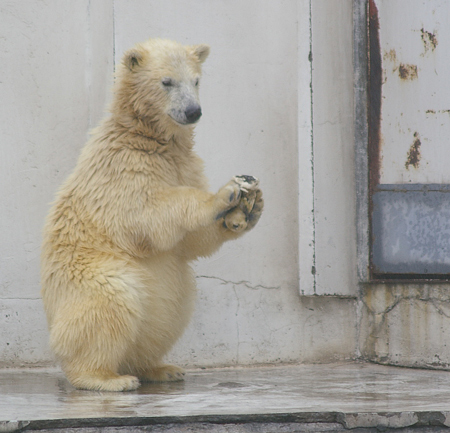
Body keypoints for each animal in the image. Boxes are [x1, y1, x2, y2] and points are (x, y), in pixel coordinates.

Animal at [41, 38, 264, 390]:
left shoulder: (185, 166)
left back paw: (160, 368)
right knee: (111, 302)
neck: (146, 137)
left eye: (196, 80)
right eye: (167, 82)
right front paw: (225, 194)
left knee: (172, 308)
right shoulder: (123, 170)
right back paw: (108, 378)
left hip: (167, 297)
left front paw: (246, 210)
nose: (193, 111)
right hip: (90, 277)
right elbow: (148, 214)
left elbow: (190, 244)